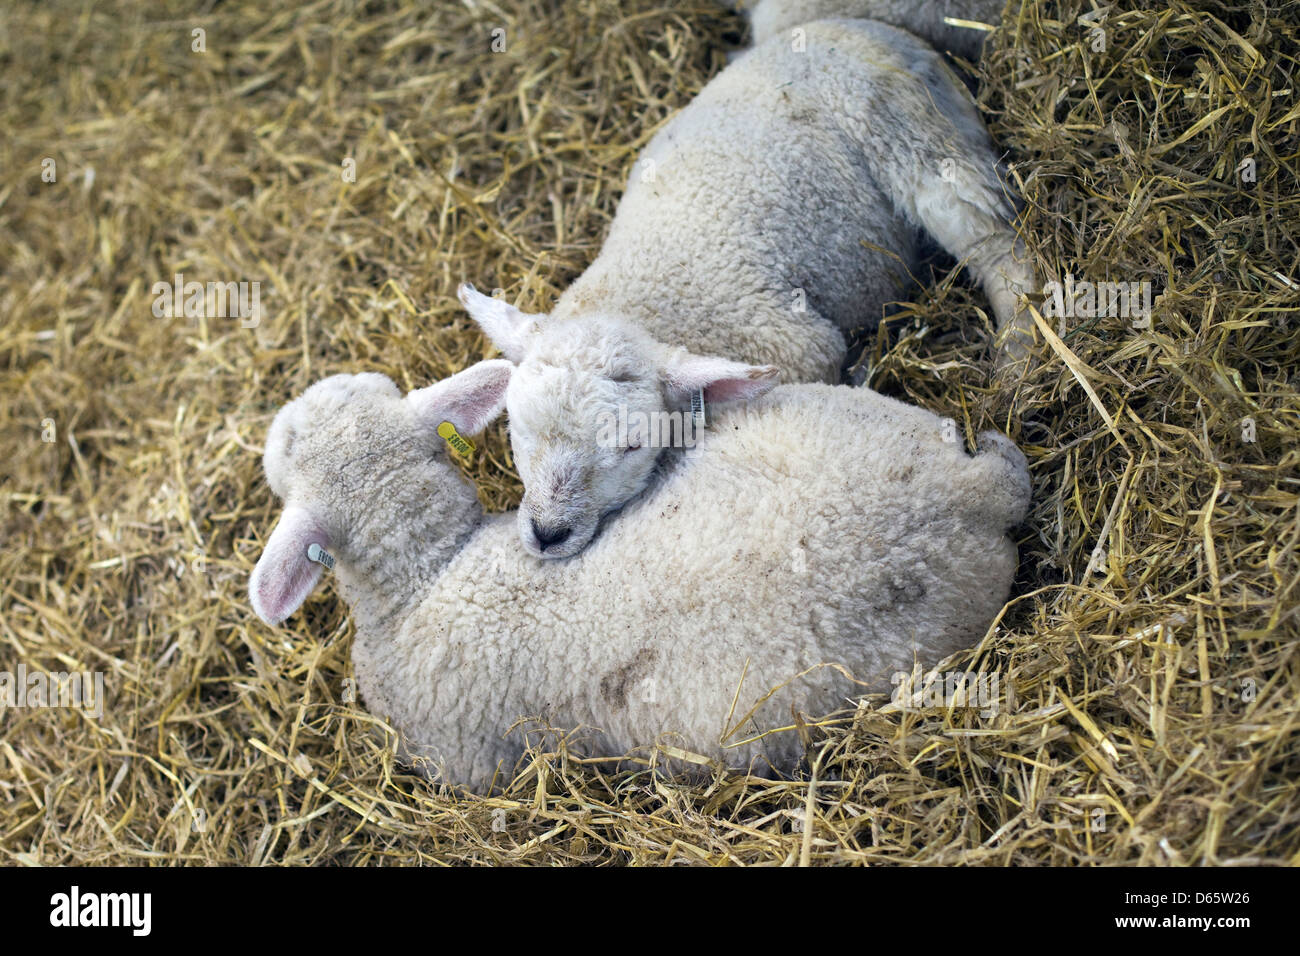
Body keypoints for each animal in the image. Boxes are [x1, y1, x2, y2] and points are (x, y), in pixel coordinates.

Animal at [462, 16, 1040, 561]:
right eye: (517, 427)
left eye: (632, 445)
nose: (547, 533)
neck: (640, 298)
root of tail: (869, 28)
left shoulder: (800, 349)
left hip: (919, 142)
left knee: (1000, 248)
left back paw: (1018, 363)